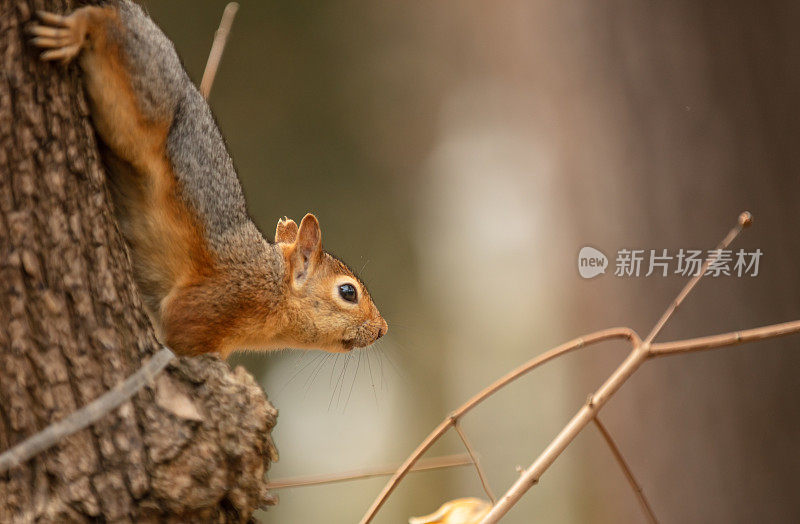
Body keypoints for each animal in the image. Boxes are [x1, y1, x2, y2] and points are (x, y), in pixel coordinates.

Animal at [32, 1, 390, 360]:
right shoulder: (212, 305)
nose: (383, 329)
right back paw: (80, 27)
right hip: (140, 98)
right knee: (107, 26)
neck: (273, 285)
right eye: (348, 292)